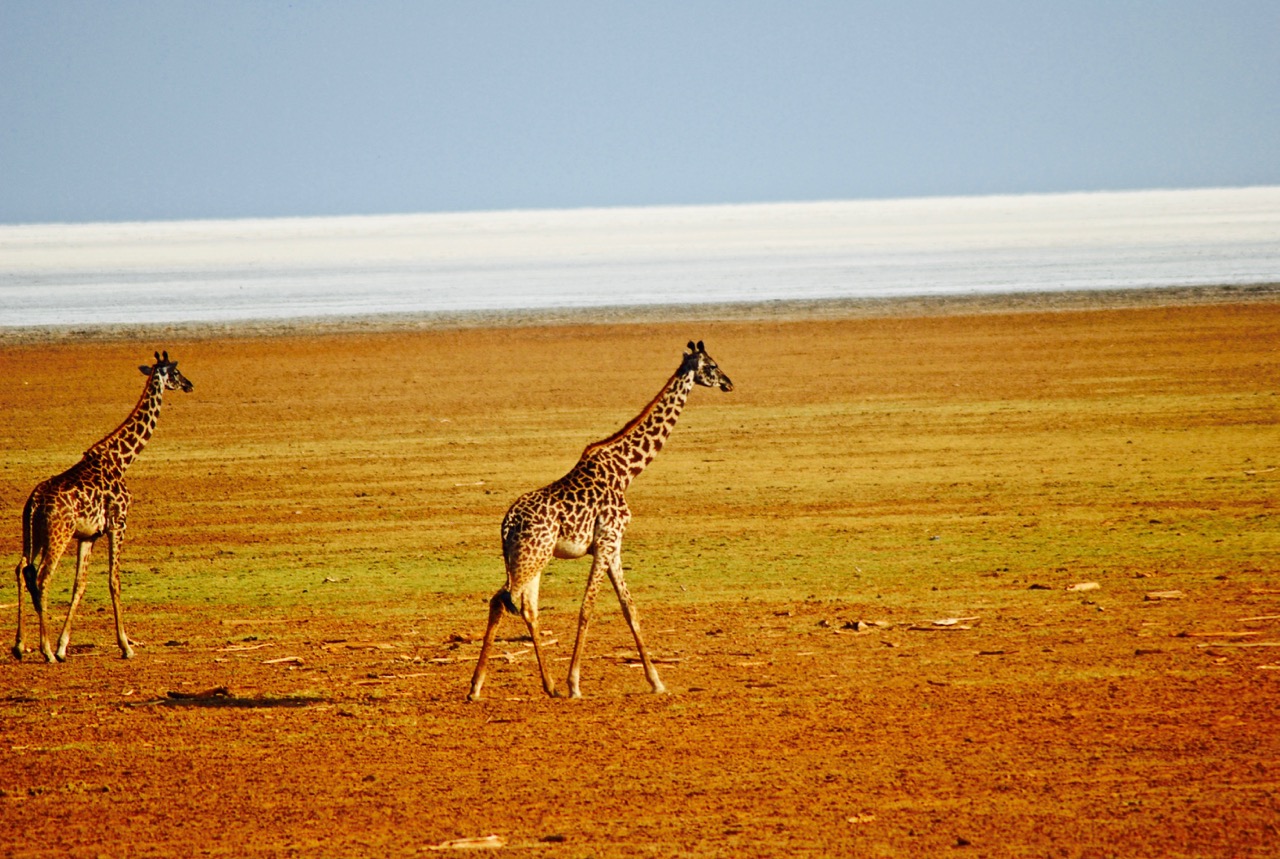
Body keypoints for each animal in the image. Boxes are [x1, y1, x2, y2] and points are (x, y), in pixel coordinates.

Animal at [12, 353, 193, 660]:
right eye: (176, 372)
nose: (189, 385)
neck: (122, 459)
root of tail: (35, 501)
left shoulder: (89, 535)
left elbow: (80, 585)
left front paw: (63, 646)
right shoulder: (118, 524)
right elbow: (114, 581)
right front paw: (126, 646)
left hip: (33, 534)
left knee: (22, 568)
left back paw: (20, 646)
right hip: (58, 535)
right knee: (42, 576)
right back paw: (45, 651)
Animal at [468, 340, 732, 701]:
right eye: (712, 365)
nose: (728, 383)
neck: (626, 470)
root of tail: (506, 524)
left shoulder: (613, 547)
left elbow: (629, 608)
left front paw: (656, 681)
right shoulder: (608, 541)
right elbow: (587, 607)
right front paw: (575, 683)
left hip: (530, 558)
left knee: (525, 607)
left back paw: (546, 686)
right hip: (532, 556)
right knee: (501, 600)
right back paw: (478, 686)